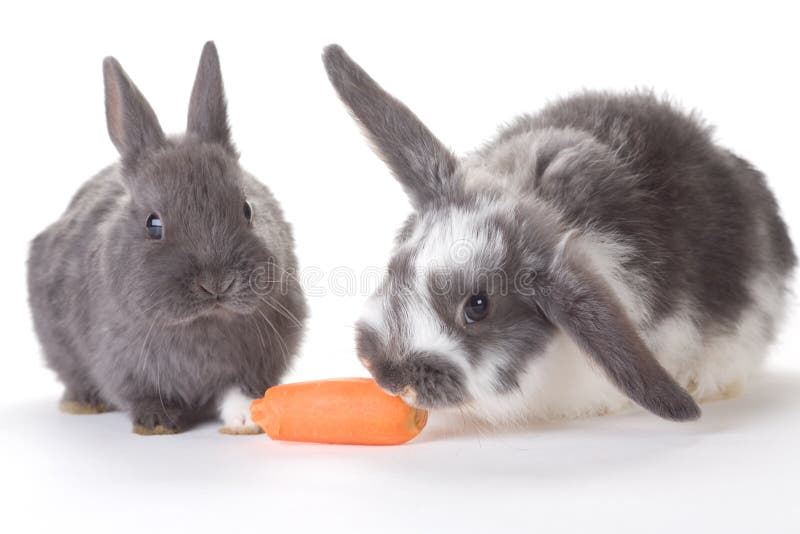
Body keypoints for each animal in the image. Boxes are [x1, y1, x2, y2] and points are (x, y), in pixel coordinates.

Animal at [25, 42, 306, 436]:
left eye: (247, 208)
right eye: (153, 224)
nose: (216, 283)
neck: (203, 323)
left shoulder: (255, 362)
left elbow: (237, 391)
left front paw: (247, 419)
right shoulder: (121, 365)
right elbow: (140, 395)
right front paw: (157, 423)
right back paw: (83, 404)